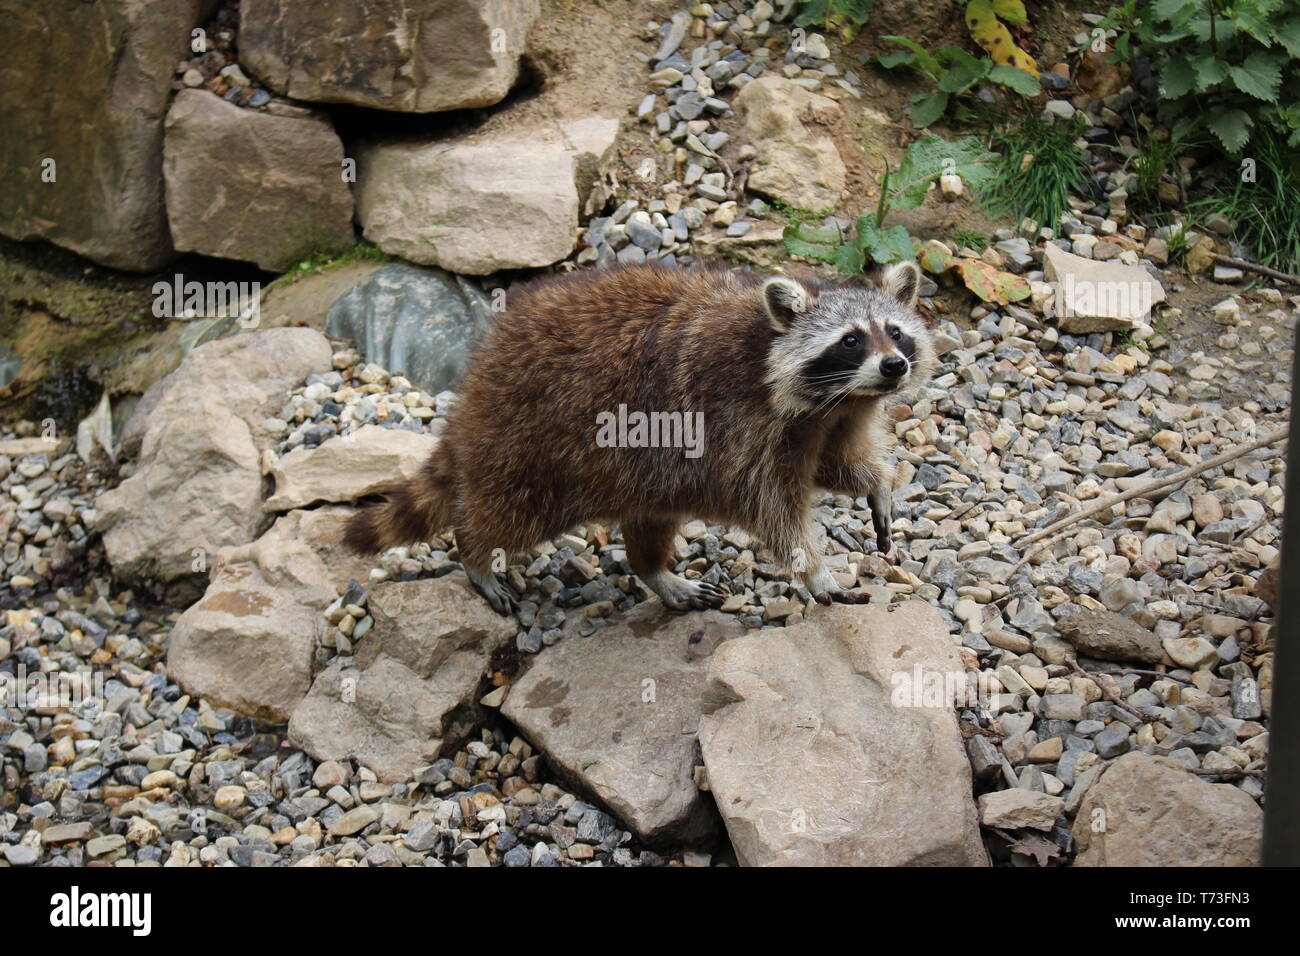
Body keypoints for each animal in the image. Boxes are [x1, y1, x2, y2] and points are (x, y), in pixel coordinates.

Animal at [345, 261, 935, 613]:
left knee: (652, 516)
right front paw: (811, 569)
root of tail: (483, 366)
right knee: (512, 510)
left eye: (896, 331)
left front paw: (877, 482)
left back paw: (654, 571)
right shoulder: (741, 422)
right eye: (851, 340)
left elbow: (836, 464)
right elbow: (773, 508)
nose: (894, 366)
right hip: (531, 435)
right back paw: (476, 553)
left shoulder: (831, 420)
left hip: (637, 468)